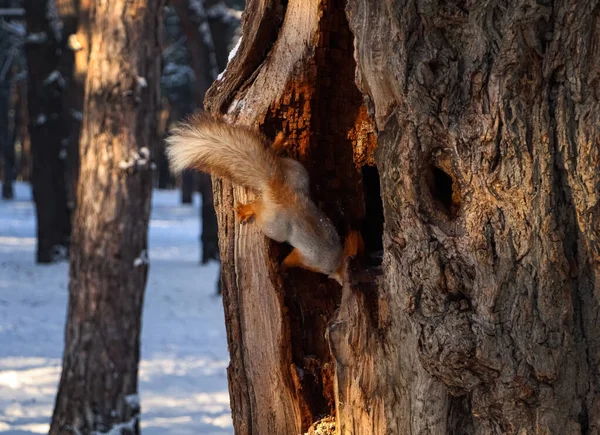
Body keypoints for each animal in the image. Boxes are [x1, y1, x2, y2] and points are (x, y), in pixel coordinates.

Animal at [165, 114, 360, 286]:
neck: (337, 260)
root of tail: (277, 187)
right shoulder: (308, 259)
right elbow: (291, 260)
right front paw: (282, 268)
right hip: (273, 226)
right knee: (259, 209)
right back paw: (247, 210)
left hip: (297, 173)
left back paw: (278, 144)